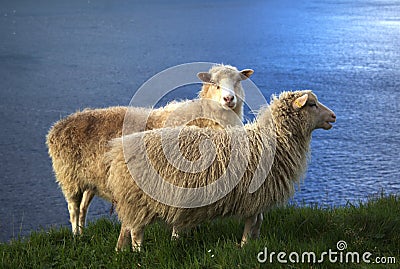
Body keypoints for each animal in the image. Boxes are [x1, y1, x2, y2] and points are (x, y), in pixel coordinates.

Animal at [46, 63, 253, 234]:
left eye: (237, 82)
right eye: (215, 84)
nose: (229, 99)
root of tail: (58, 126)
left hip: (90, 179)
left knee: (83, 208)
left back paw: (82, 233)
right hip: (69, 177)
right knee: (73, 208)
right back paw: (75, 236)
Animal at [104, 89, 336, 249]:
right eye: (312, 104)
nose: (334, 116)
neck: (273, 139)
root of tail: (118, 150)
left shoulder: (260, 195)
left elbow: (259, 222)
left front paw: (254, 243)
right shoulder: (252, 195)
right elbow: (251, 222)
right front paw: (244, 246)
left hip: (133, 199)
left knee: (126, 227)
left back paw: (119, 251)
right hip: (139, 199)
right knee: (136, 231)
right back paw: (138, 253)